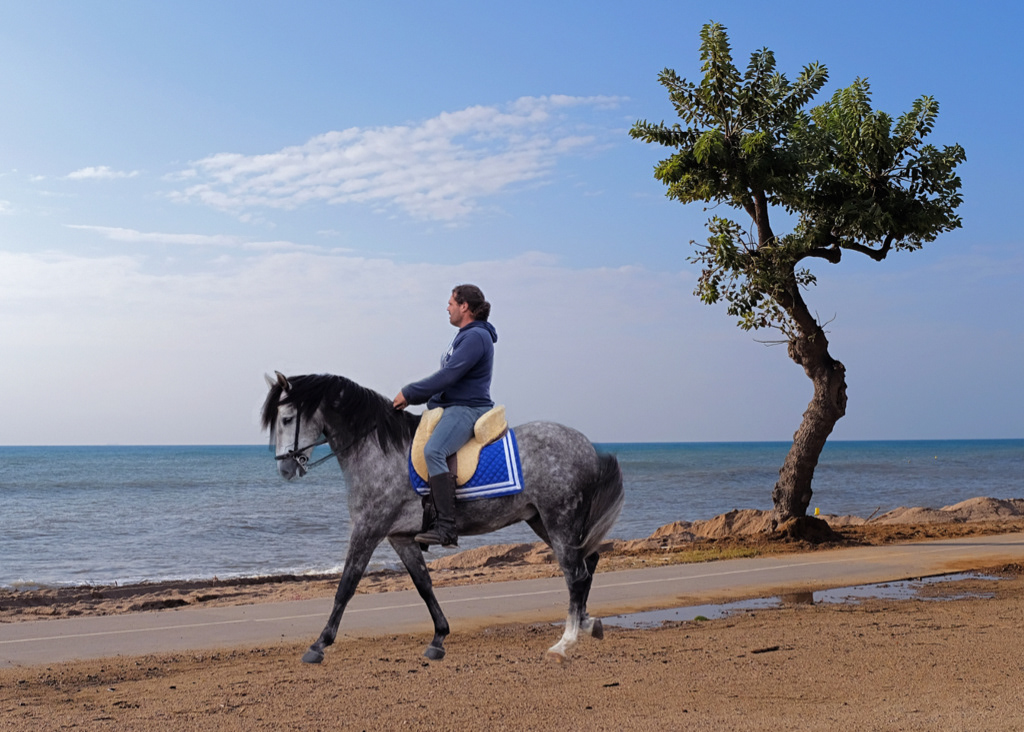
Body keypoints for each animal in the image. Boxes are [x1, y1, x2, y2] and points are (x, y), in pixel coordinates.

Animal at [262, 371, 624, 664]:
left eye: (286, 419)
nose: (284, 469)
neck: (379, 451)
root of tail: (588, 447)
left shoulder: (368, 529)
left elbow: (346, 586)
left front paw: (319, 644)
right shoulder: (400, 537)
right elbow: (424, 585)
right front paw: (438, 638)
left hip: (559, 519)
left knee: (575, 573)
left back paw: (565, 643)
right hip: (546, 522)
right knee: (588, 563)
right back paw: (587, 623)